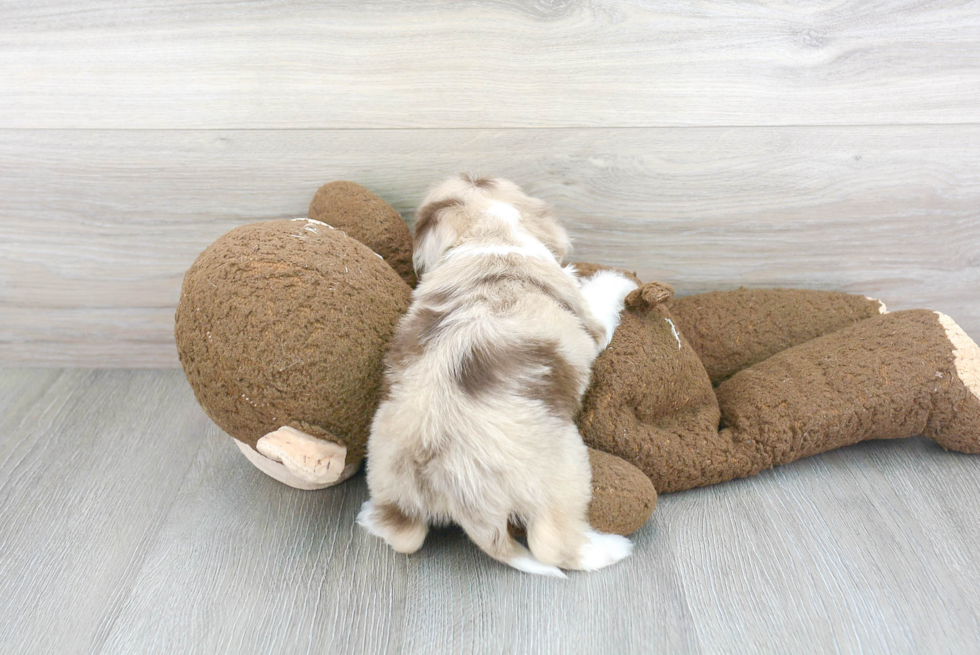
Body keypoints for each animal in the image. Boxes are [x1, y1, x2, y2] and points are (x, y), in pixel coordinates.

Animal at [356, 176, 640, 580]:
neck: (489, 233)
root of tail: (458, 489)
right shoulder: (592, 321)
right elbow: (601, 295)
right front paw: (619, 279)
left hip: (391, 486)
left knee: (403, 534)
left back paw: (368, 517)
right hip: (566, 470)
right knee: (552, 544)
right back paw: (611, 549)